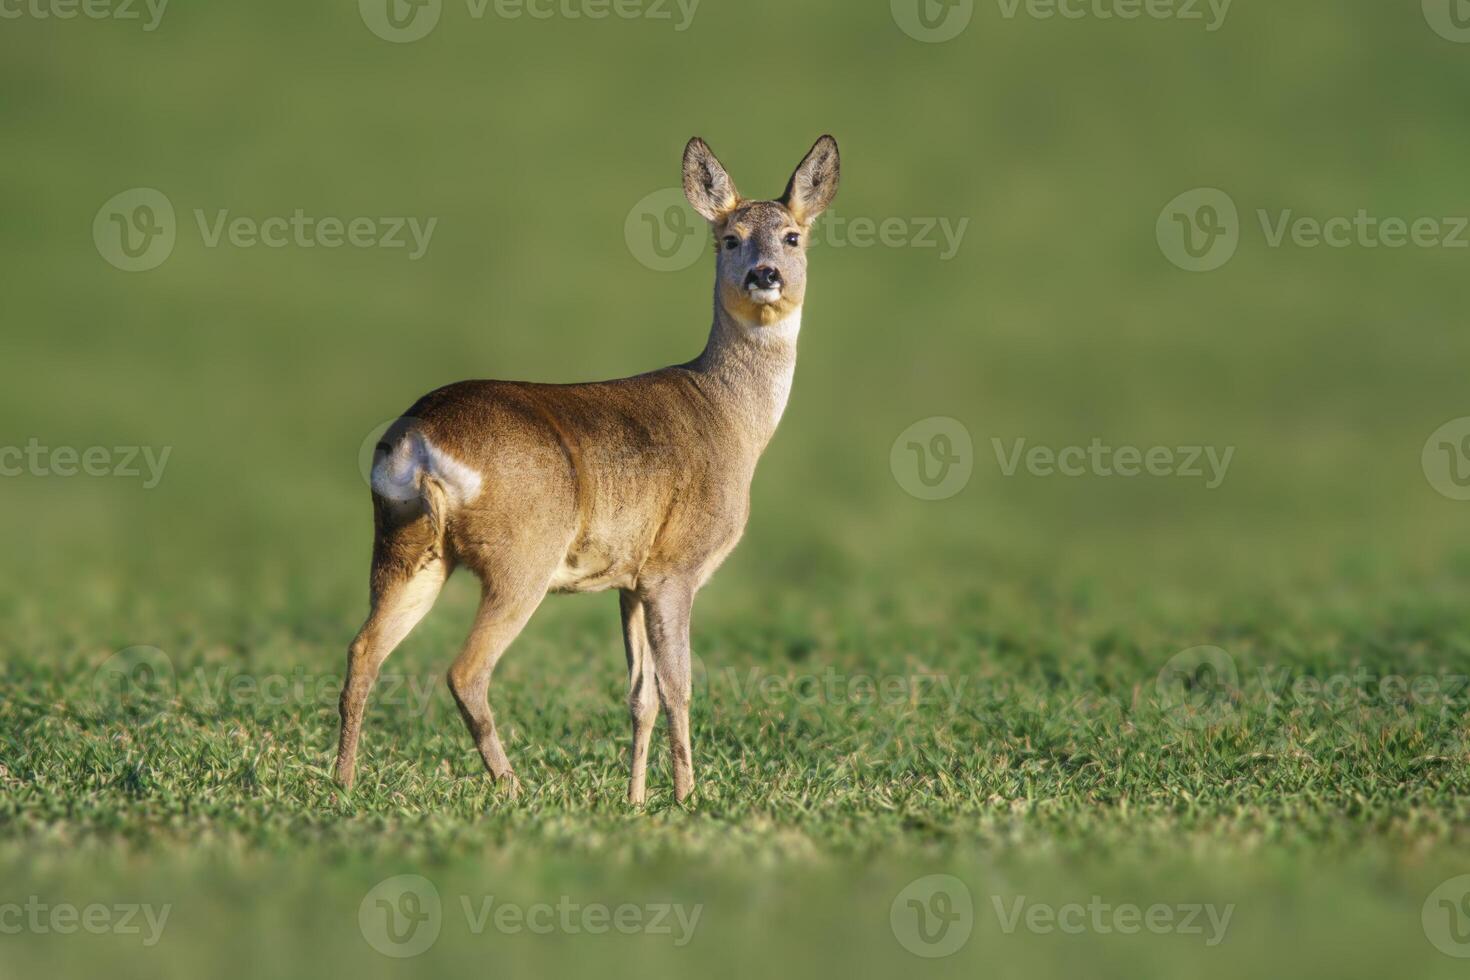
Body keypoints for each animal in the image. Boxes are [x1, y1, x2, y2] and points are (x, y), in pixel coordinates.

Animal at [335, 134, 840, 805]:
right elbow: (679, 687)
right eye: (729, 238)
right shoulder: (676, 566)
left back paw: (342, 784)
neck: (731, 418)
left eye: (792, 237)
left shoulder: (630, 577)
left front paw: (636, 800)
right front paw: (687, 797)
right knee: (465, 670)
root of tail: (417, 440)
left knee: (363, 650)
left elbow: (640, 695)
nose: (766, 275)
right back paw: (514, 788)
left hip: (406, 547)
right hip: (521, 554)